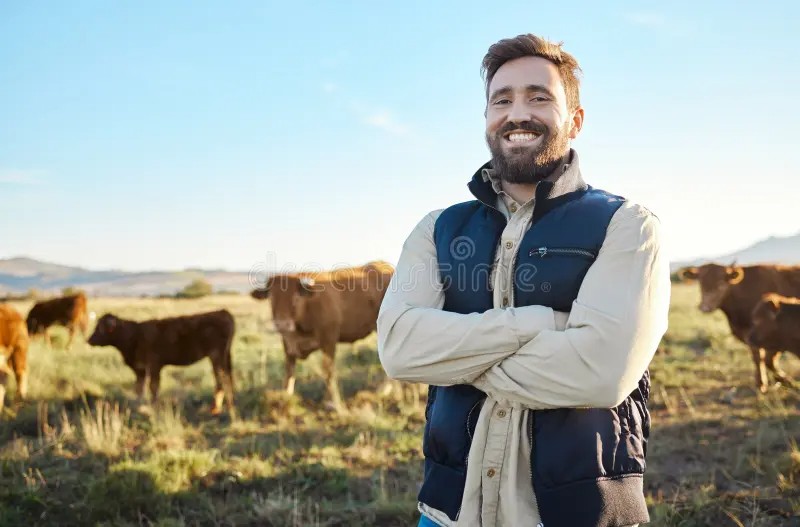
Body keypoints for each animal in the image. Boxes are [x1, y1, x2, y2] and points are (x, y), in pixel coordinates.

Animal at [90, 310, 238, 416]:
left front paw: (153, 407)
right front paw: (138, 407)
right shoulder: (140, 370)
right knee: (225, 378)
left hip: (217, 356)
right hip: (223, 357)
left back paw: (218, 409)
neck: (135, 335)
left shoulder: (154, 366)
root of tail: (222, 312)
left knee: (222, 379)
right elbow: (139, 389)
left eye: (101, 328)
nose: (89, 340)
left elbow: (153, 387)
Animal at [252, 262, 396, 410]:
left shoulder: (329, 340)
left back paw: (384, 390)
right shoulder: (287, 345)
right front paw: (285, 399)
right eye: (271, 297)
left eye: (296, 297)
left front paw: (333, 403)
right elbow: (289, 372)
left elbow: (328, 371)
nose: (282, 324)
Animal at [680, 264, 800, 392]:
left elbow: (766, 359)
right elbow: (760, 358)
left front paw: (773, 382)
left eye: (721, 283)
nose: (705, 307)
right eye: (701, 282)